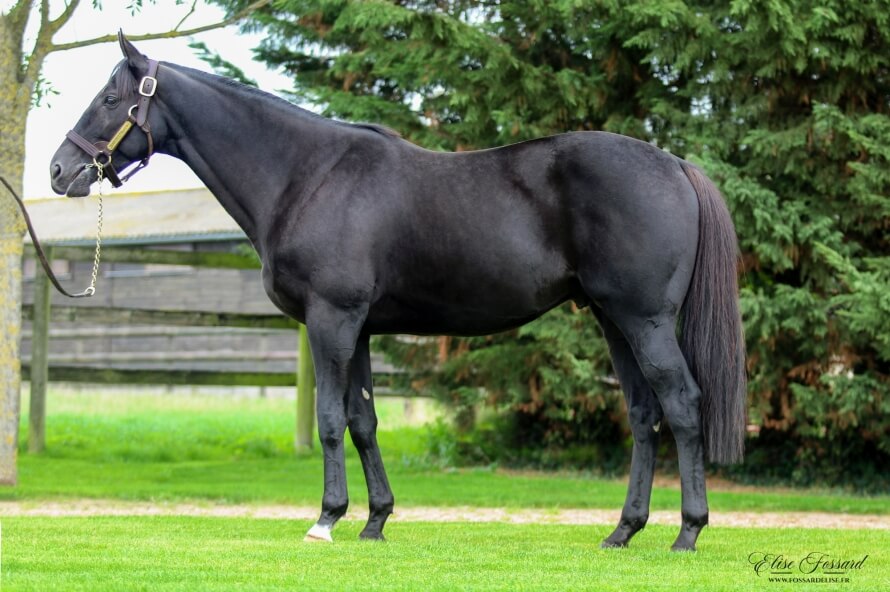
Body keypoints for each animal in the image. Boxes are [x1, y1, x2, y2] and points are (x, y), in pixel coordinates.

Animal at [50, 33, 746, 552]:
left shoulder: (330, 320)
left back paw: (688, 533)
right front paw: (375, 520)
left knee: (683, 405)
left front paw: (326, 518)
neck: (305, 176)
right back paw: (623, 531)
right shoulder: (357, 327)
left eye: (111, 97)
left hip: (644, 320)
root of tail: (675, 165)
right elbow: (363, 420)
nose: (60, 170)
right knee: (644, 414)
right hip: (611, 319)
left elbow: (330, 420)